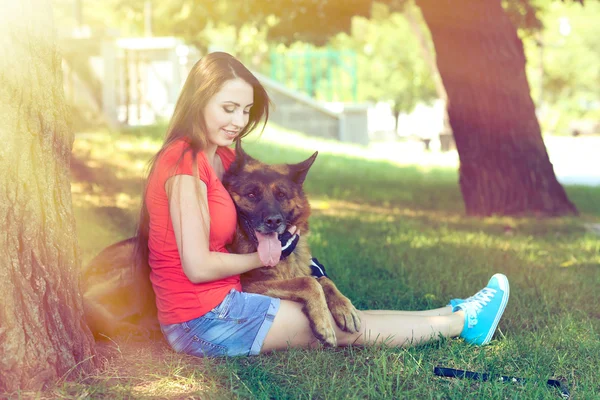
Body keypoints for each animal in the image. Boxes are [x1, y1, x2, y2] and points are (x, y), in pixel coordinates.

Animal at [221, 142, 358, 346]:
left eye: (281, 195)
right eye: (252, 194)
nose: (274, 221)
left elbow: (323, 280)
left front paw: (344, 306)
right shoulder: (250, 285)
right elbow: (308, 282)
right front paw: (324, 323)